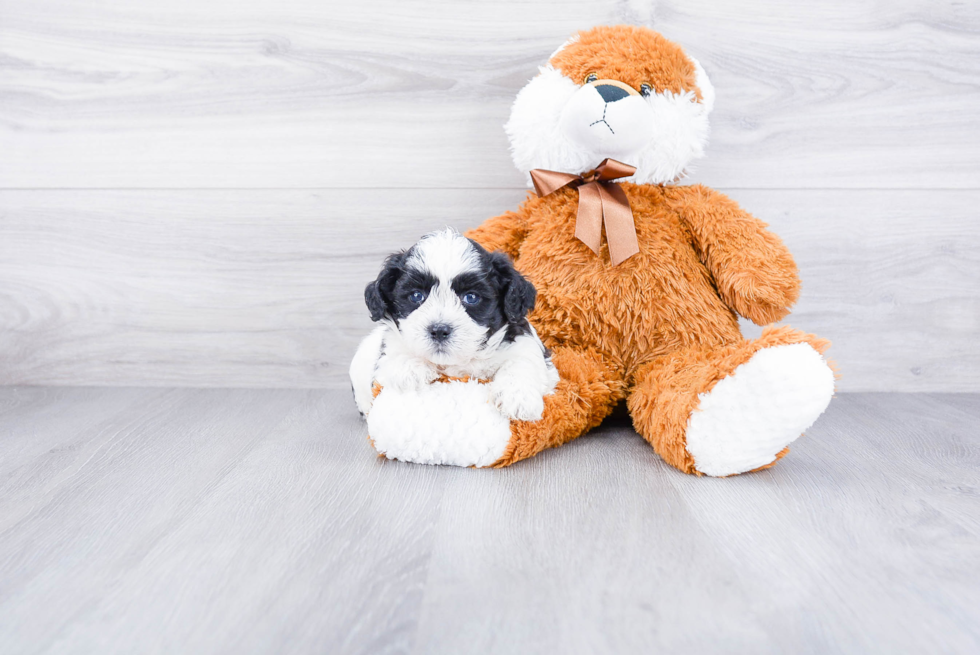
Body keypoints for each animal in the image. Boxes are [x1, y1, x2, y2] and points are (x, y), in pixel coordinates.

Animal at [350, 228, 560, 422]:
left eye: (471, 297)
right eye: (416, 296)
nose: (439, 330)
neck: (457, 364)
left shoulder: (522, 340)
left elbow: (523, 360)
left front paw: (517, 397)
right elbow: (394, 351)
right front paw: (410, 368)